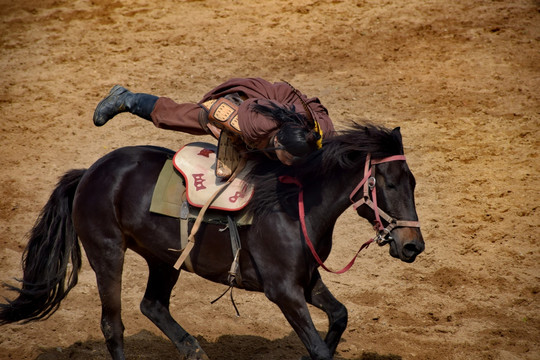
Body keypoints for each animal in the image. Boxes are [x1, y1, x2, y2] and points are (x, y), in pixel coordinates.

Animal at [1, 124, 426, 360]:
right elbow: (320, 347)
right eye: (389, 184)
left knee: (152, 305)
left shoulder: (306, 281)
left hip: (164, 258)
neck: (296, 205)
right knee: (113, 324)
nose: (413, 247)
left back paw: (194, 351)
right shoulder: (283, 290)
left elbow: (339, 316)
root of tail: (90, 171)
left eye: (413, 182)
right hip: (107, 253)